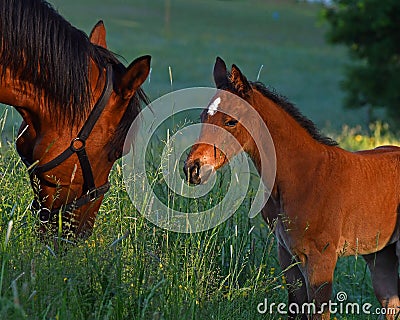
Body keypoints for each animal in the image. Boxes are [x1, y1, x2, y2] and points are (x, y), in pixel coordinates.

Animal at [185, 57, 400, 318]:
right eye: (203, 116)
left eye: (231, 121)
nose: (193, 169)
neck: (303, 178)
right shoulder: (287, 256)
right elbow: (296, 307)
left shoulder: (321, 259)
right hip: (381, 254)